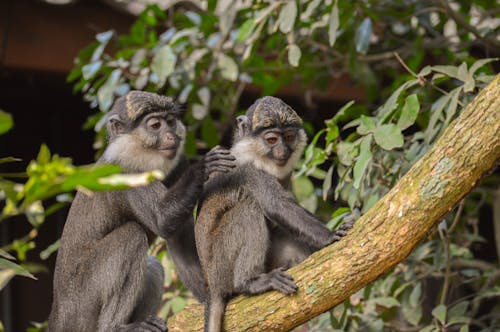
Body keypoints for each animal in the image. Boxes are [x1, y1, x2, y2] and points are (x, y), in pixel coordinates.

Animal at [47, 91, 235, 332]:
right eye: (155, 125)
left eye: (170, 122)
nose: (171, 136)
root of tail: (57, 316)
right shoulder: (127, 170)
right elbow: (162, 219)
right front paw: (204, 166)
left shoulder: (178, 164)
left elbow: (178, 236)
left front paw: (209, 299)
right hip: (81, 306)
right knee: (131, 236)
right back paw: (117, 327)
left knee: (153, 266)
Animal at [193, 96, 354, 332]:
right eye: (271, 140)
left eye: (288, 137)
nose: (282, 152)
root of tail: (210, 286)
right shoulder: (247, 169)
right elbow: (277, 204)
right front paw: (330, 235)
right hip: (221, 265)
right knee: (248, 208)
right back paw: (250, 282)